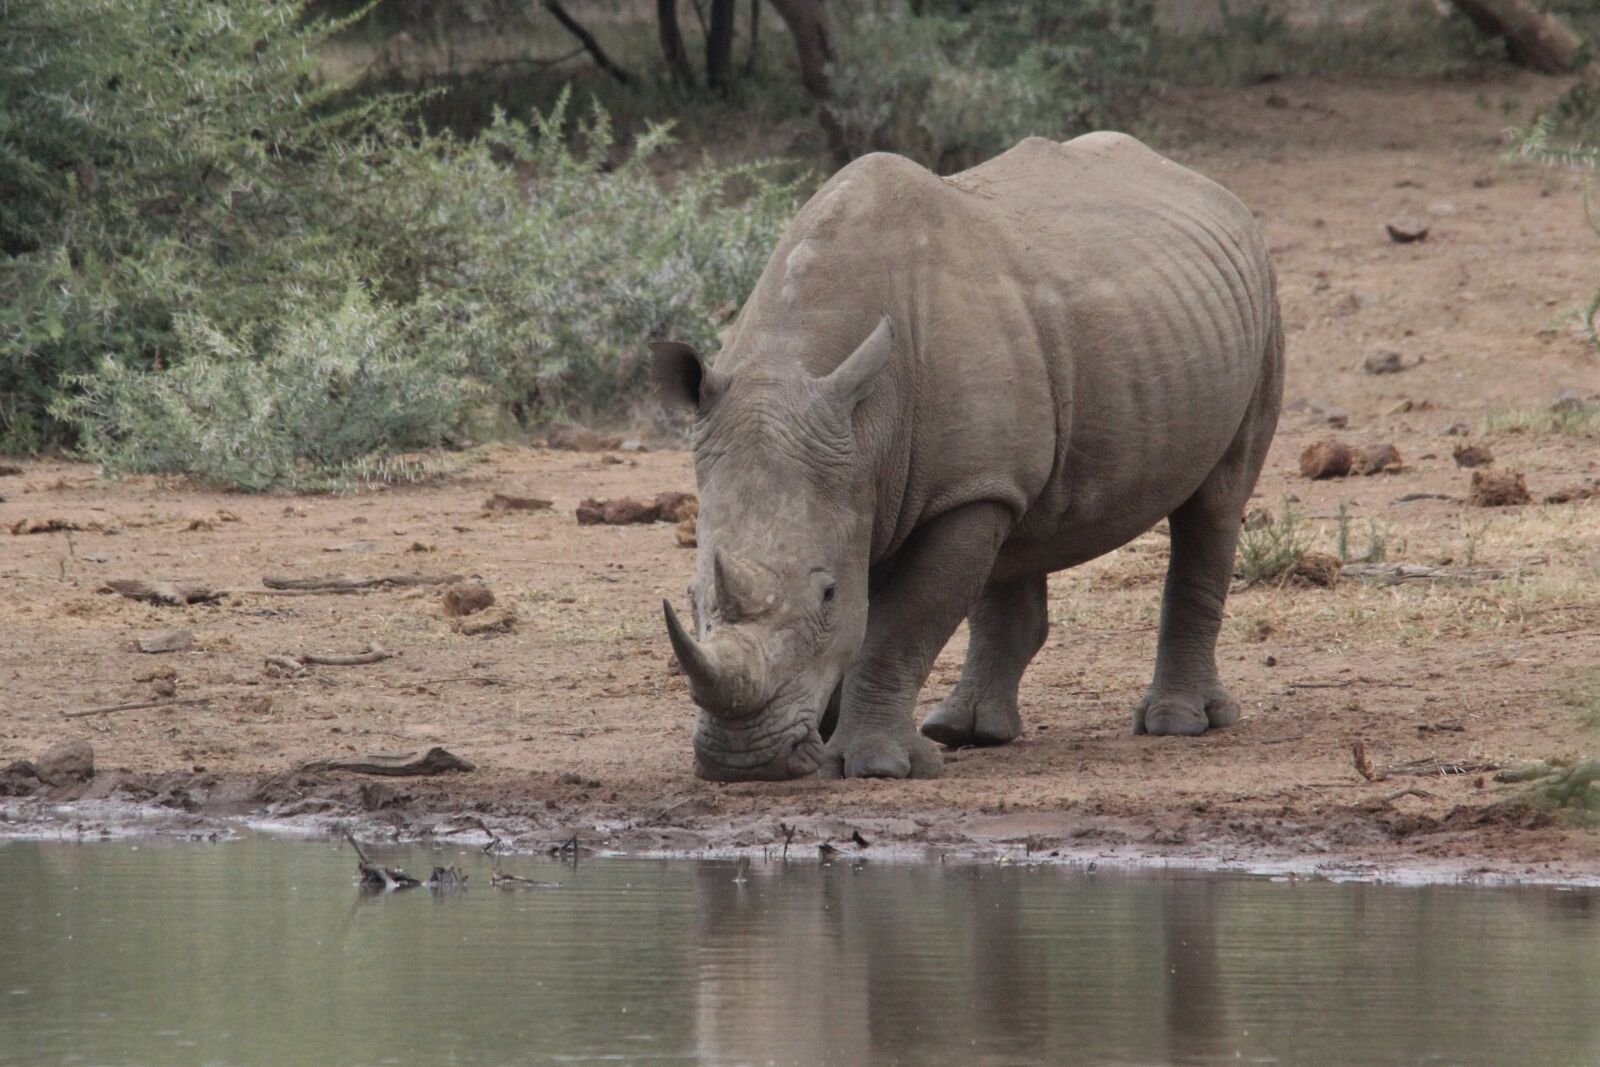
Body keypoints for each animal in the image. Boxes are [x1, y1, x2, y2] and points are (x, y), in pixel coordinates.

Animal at [652, 132, 1283, 782]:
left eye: (826, 595)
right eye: (692, 598)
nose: (741, 762)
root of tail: (1207, 186)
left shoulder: (961, 491)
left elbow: (901, 624)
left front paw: (873, 764)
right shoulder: (893, 480)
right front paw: (827, 740)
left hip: (1261, 303)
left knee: (1217, 499)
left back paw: (1178, 723)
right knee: (1022, 529)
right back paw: (967, 731)